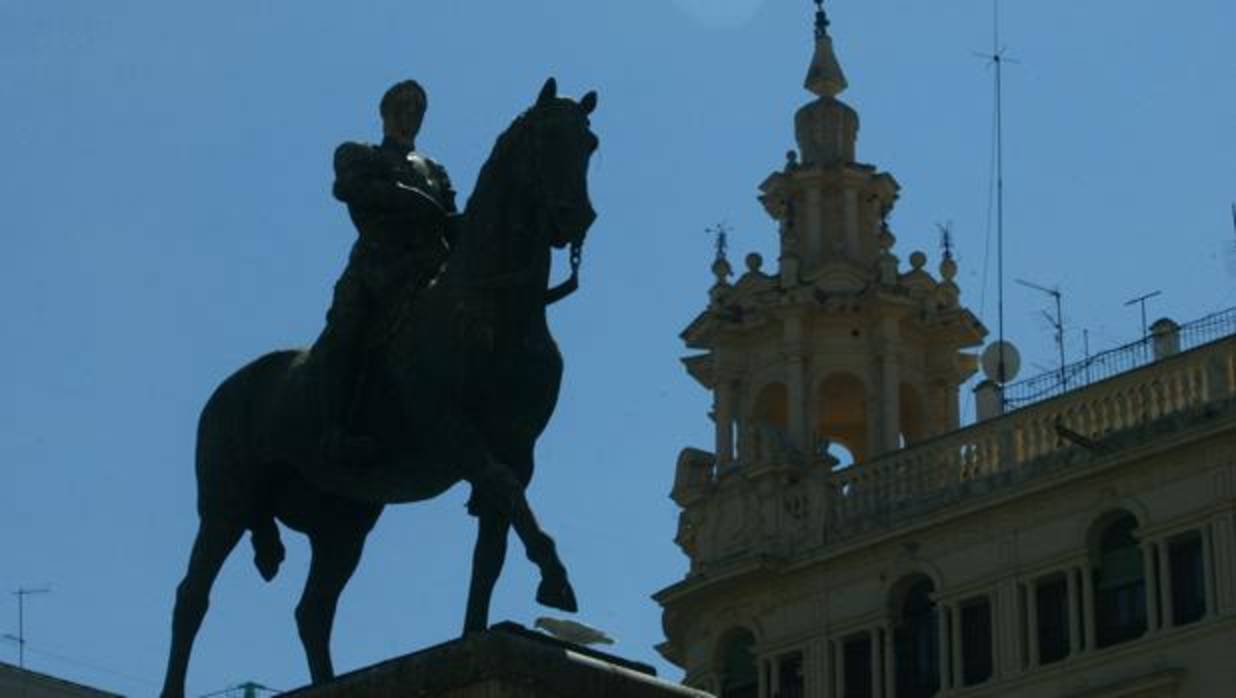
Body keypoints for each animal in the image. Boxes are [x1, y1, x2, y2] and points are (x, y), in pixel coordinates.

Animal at [160, 79, 598, 691]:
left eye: (589, 144)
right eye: (544, 138)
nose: (574, 217)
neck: (494, 310)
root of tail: (229, 389)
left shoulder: (518, 446)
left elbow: (493, 544)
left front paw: (475, 631)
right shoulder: (454, 432)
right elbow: (506, 491)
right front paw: (556, 578)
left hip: (344, 524)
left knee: (313, 612)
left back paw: (328, 682)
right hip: (226, 504)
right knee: (192, 598)